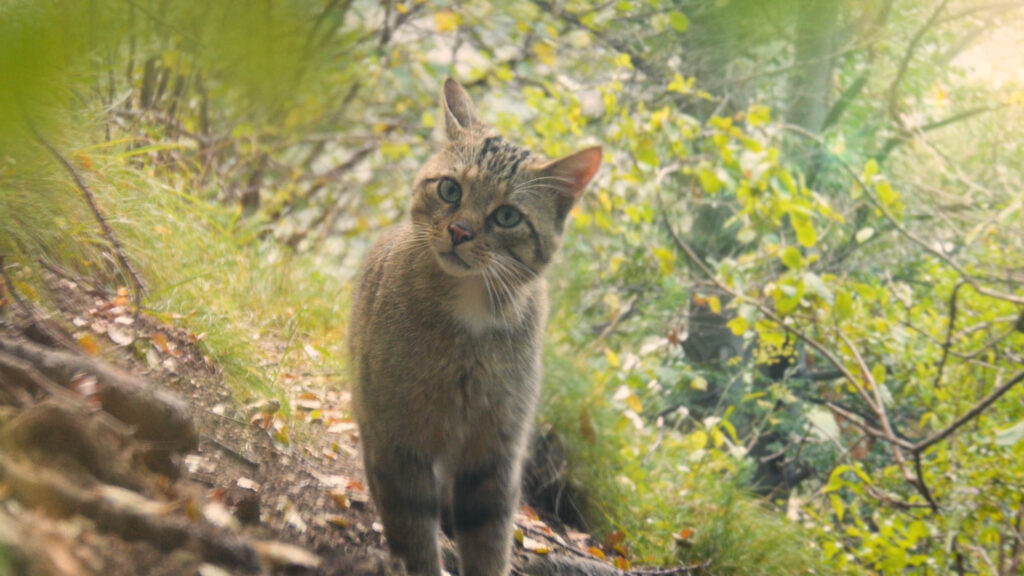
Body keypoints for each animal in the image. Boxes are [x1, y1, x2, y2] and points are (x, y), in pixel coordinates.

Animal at [350, 77, 598, 573]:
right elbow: (413, 529)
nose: (460, 232)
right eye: (450, 190)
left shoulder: (495, 453)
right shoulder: (397, 439)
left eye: (507, 216)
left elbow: (488, 537)